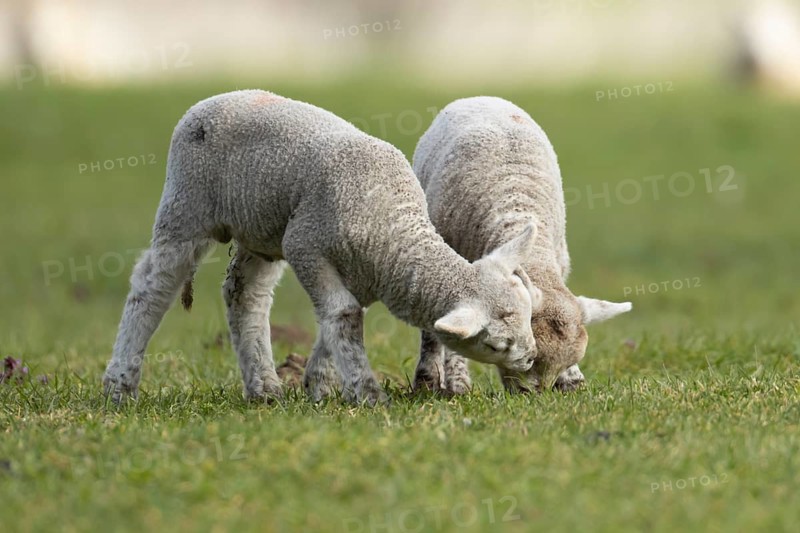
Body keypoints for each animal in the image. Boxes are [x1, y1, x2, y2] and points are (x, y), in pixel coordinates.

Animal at [102, 90, 541, 406]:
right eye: (494, 344)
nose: (531, 360)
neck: (394, 228)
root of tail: (209, 101)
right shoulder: (306, 247)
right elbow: (343, 316)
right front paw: (367, 394)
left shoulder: (362, 273)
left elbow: (339, 319)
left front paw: (318, 384)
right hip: (186, 205)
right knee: (152, 287)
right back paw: (120, 386)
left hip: (262, 229)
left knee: (245, 296)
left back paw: (264, 388)